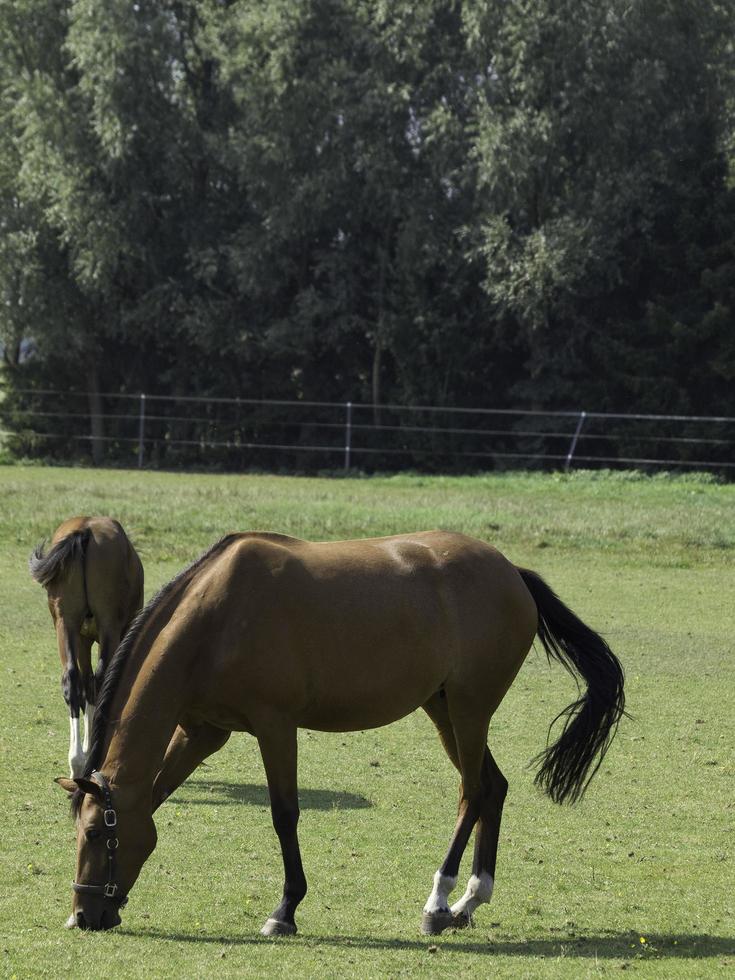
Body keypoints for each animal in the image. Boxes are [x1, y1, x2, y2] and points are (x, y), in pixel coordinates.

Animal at [31, 516, 144, 776]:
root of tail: (85, 528)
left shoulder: (81, 639)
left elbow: (85, 685)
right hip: (108, 628)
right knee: (99, 680)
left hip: (65, 624)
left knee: (73, 681)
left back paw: (76, 762)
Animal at [54, 532, 624, 936]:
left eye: (96, 834)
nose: (83, 916)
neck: (216, 618)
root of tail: (511, 573)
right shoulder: (202, 732)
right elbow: (153, 799)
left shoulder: (275, 726)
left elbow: (284, 815)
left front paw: (285, 910)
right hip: (443, 709)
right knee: (493, 788)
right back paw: (468, 902)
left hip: (469, 709)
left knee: (474, 791)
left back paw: (438, 901)